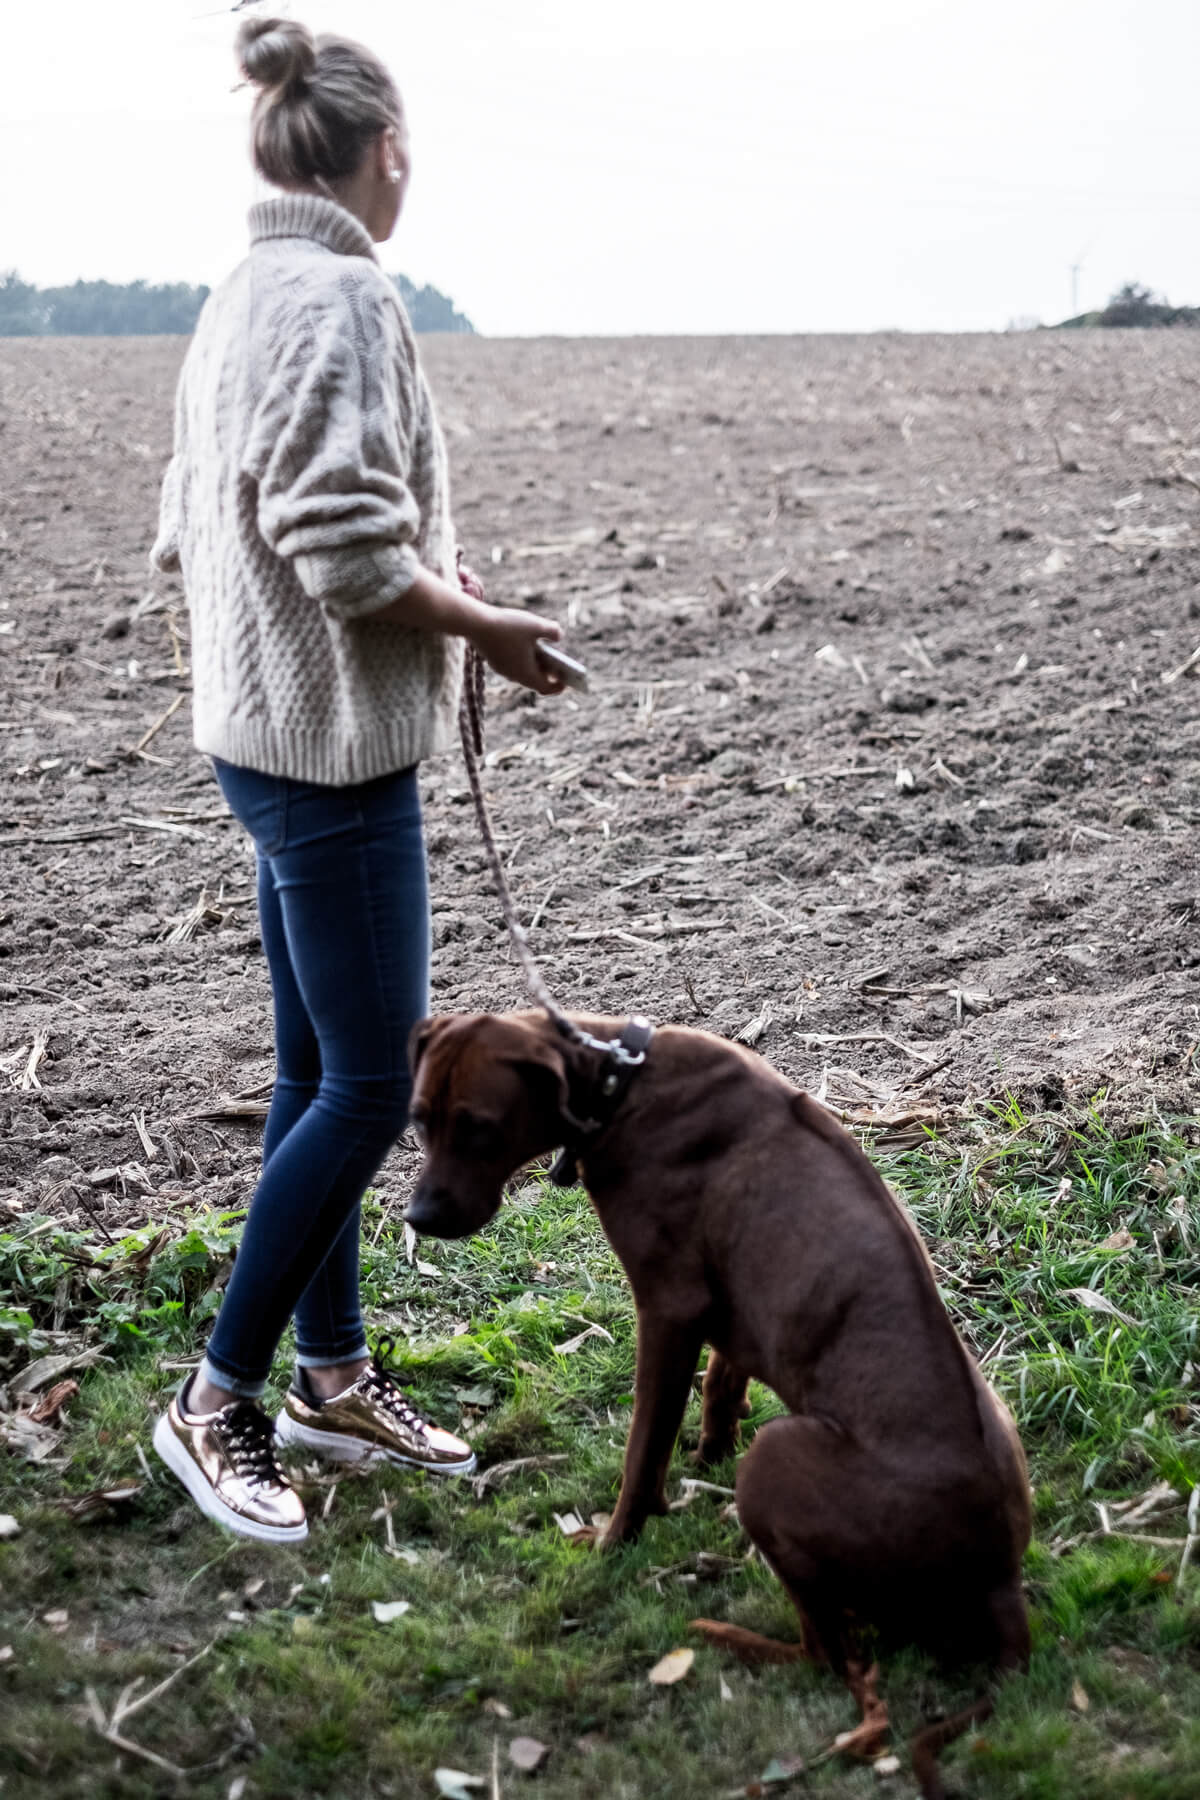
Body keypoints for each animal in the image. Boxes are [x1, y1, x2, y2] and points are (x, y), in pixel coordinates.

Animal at [406, 1008, 1036, 1792]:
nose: (418, 1217)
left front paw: (616, 1541)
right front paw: (707, 1449)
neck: (619, 1083)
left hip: (780, 1456)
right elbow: (720, 1380)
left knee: (829, 1657)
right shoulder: (733, 1305)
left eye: (480, 1126)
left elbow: (642, 1449)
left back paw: (731, 1638)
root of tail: (1003, 1581)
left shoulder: (667, 1309)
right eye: (419, 1118)